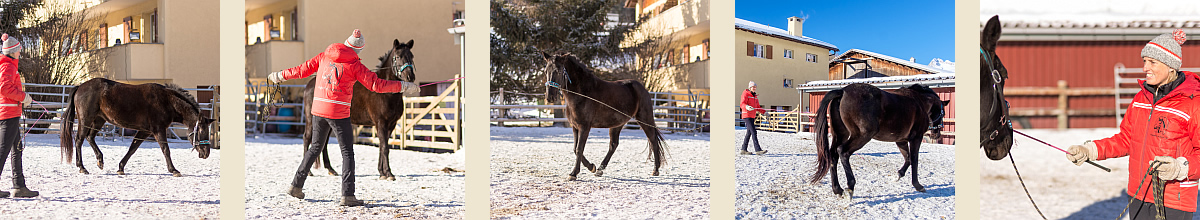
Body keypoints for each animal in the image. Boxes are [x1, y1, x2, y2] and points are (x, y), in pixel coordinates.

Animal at [60, 77, 217, 176]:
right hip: (86, 120)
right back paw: (82, 167)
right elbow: (166, 150)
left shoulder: (144, 131)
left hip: (99, 120)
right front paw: (173, 170)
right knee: (79, 140)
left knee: (90, 138)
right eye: (201, 131)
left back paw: (100, 160)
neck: (167, 101)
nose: (206, 153)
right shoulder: (158, 130)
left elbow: (132, 149)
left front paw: (121, 168)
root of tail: (80, 87)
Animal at [302, 39, 420, 180]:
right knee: (307, 137)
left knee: (324, 144)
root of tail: (309, 85)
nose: (410, 77)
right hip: (311, 120)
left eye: (412, 56)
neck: (385, 92)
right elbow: (385, 147)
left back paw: (330, 169)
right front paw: (388, 173)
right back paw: (309, 172)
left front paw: (381, 172)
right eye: (397, 57)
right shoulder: (381, 123)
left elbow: (382, 146)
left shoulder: (391, 125)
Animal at [542, 51, 667, 180]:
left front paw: (574, 173)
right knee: (613, 145)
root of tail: (642, 88)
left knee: (653, 140)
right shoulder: (575, 127)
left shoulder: (584, 127)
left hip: (644, 119)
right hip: (617, 124)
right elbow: (575, 149)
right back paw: (600, 169)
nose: (549, 97)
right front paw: (592, 167)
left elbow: (579, 149)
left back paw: (655, 170)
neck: (583, 93)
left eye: (558, 70)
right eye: (546, 71)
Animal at [806, 82, 945, 199]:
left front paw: (898, 174)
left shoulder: (901, 141)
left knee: (833, 156)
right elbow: (915, 160)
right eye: (942, 113)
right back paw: (850, 186)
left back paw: (837, 189)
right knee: (843, 152)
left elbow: (908, 159)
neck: (919, 101)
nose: (937, 134)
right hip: (862, 136)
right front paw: (917, 185)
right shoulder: (916, 138)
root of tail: (843, 91)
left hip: (841, 135)